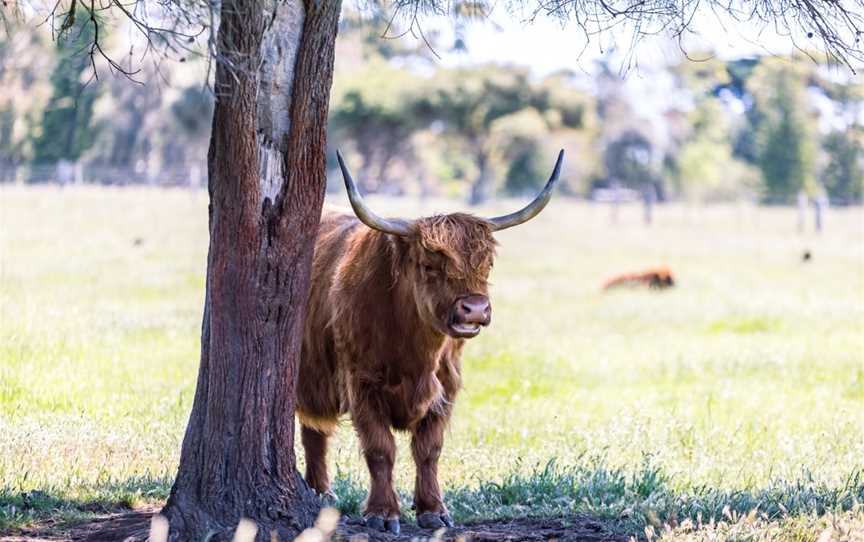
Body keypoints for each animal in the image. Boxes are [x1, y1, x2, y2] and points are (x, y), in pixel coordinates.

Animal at [296, 150, 568, 536]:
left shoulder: (446, 387)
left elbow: (429, 449)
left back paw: (321, 494)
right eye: (429, 265)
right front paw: (383, 513)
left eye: (487, 264)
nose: (475, 309)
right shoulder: (361, 384)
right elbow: (380, 448)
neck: (415, 352)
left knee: (314, 432)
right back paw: (322, 493)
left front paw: (433, 510)